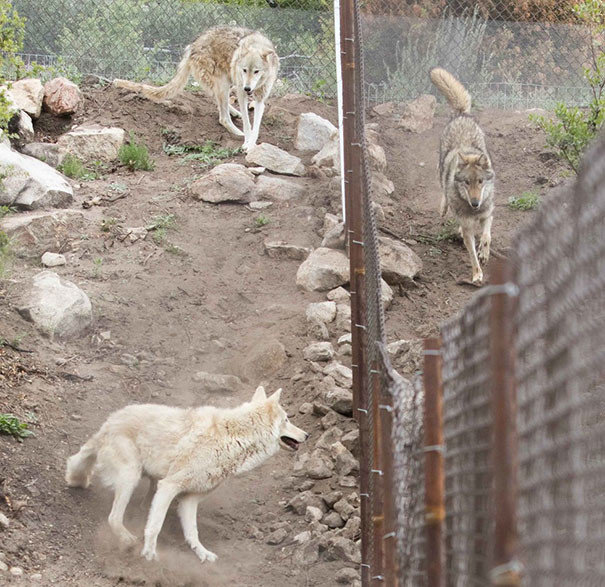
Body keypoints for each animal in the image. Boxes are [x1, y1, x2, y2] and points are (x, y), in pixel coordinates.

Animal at [65, 386, 306, 564]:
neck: (232, 439)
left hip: (147, 477)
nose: (307, 434)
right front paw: (149, 554)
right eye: (287, 419)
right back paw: (128, 541)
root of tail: (108, 423)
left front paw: (202, 553)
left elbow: (192, 532)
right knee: (114, 518)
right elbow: (155, 526)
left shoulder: (190, 498)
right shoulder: (169, 486)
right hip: (131, 476)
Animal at [113, 26, 278, 153]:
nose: (247, 88)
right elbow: (248, 124)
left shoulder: (260, 98)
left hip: (225, 84)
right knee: (223, 118)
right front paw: (246, 142)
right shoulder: (241, 92)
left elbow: (255, 126)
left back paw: (234, 113)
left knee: (218, 102)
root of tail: (192, 45)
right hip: (224, 84)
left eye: (256, 71)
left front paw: (251, 144)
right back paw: (239, 133)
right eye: (244, 70)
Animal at [428, 66, 494, 284]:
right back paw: (443, 207)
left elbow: (487, 235)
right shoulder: (467, 228)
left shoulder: (488, 214)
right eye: (466, 182)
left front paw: (484, 253)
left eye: (480, 182)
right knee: (442, 188)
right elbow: (471, 253)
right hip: (441, 167)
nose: (475, 203)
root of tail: (461, 114)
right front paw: (477, 274)